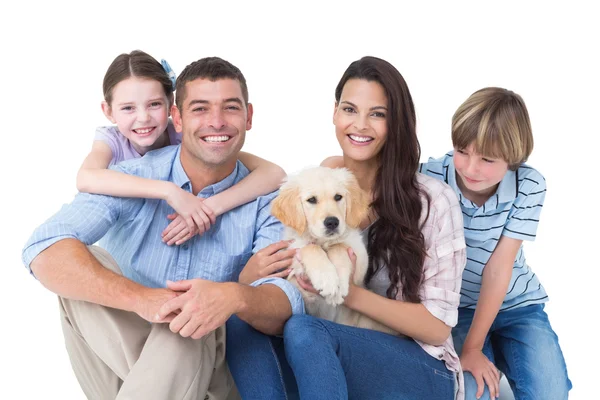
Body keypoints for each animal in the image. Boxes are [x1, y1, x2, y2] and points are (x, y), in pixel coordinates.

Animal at [274, 166, 396, 334]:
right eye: (312, 200)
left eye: (338, 197)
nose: (332, 222)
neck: (324, 242)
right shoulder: (300, 288)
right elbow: (311, 247)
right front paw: (327, 279)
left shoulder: (360, 258)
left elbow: (339, 247)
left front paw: (339, 285)